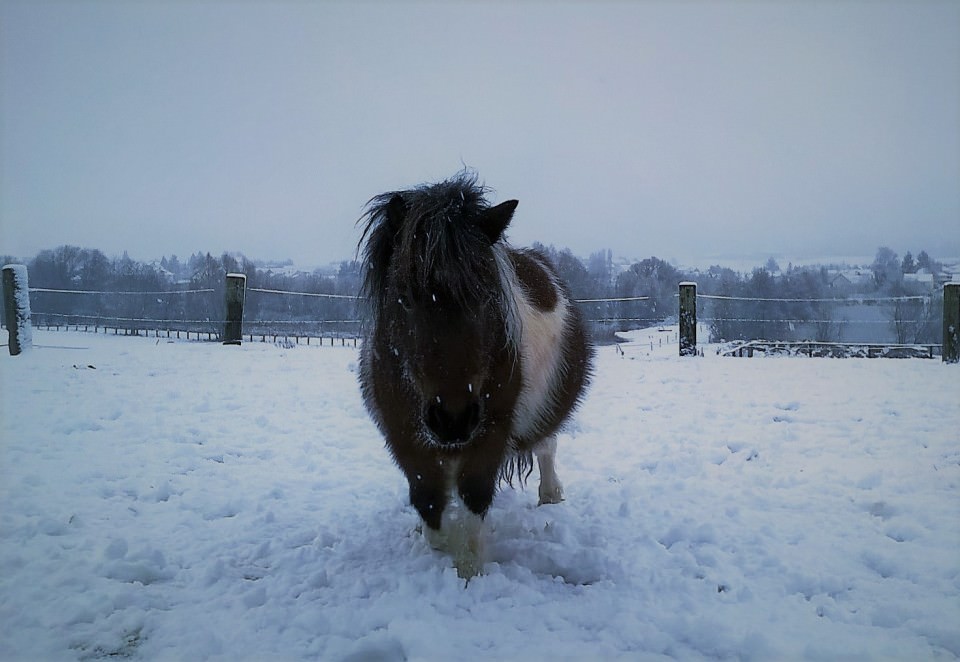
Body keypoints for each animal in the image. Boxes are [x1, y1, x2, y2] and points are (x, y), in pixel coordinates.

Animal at [356, 174, 588, 580]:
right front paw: (439, 541)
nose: (453, 419)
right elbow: (429, 502)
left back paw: (551, 494)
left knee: (547, 447)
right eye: (405, 295)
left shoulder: (491, 434)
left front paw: (469, 569)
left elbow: (474, 496)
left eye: (484, 296)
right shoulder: (404, 438)